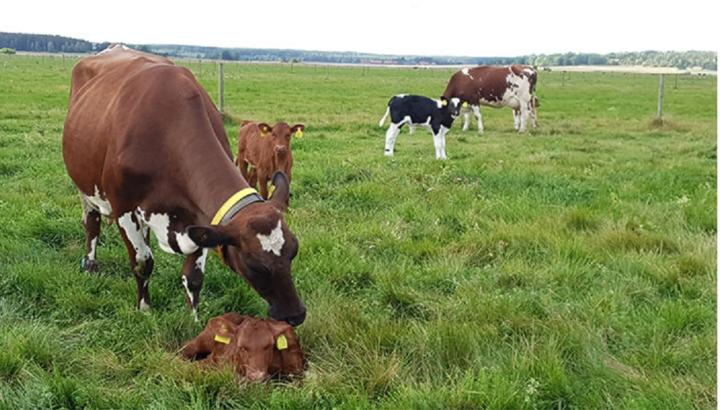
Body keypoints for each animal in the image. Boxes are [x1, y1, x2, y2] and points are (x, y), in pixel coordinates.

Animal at [62, 44, 306, 326]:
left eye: (294, 250)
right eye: (253, 263)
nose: (295, 314)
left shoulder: (199, 218)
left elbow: (194, 277)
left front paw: (195, 321)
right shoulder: (123, 208)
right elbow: (142, 262)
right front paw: (144, 308)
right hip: (84, 183)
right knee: (92, 222)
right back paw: (91, 263)